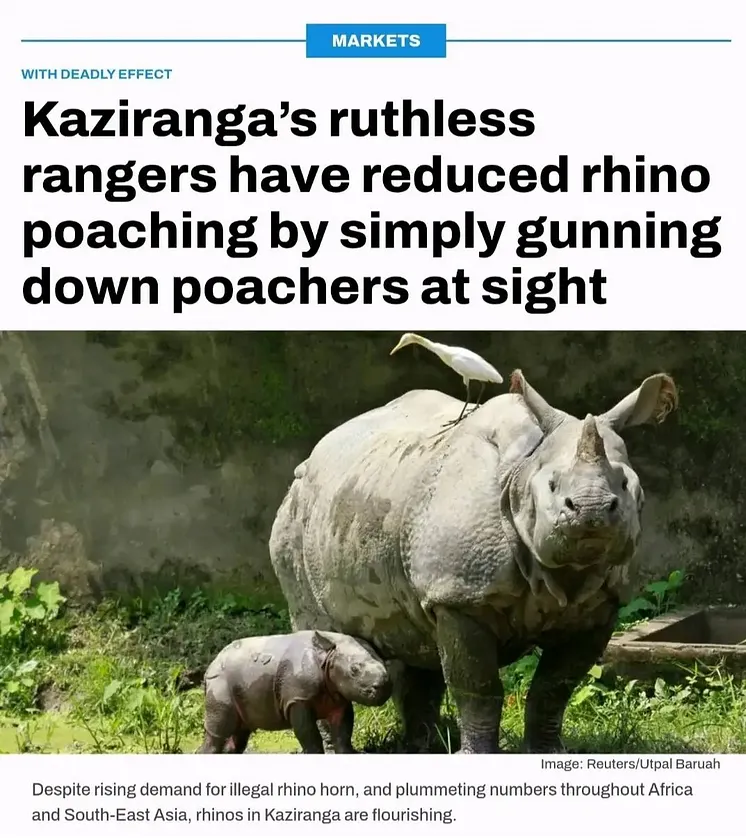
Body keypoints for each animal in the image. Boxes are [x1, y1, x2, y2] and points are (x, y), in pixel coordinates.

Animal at [269, 369, 678, 754]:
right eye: (552, 485)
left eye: (625, 485)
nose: (591, 509)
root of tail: (315, 454)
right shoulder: (459, 596)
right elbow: (478, 687)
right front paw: (476, 754)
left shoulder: (601, 605)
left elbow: (554, 687)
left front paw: (549, 752)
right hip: (294, 516)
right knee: (321, 629)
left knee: (417, 644)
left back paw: (422, 748)